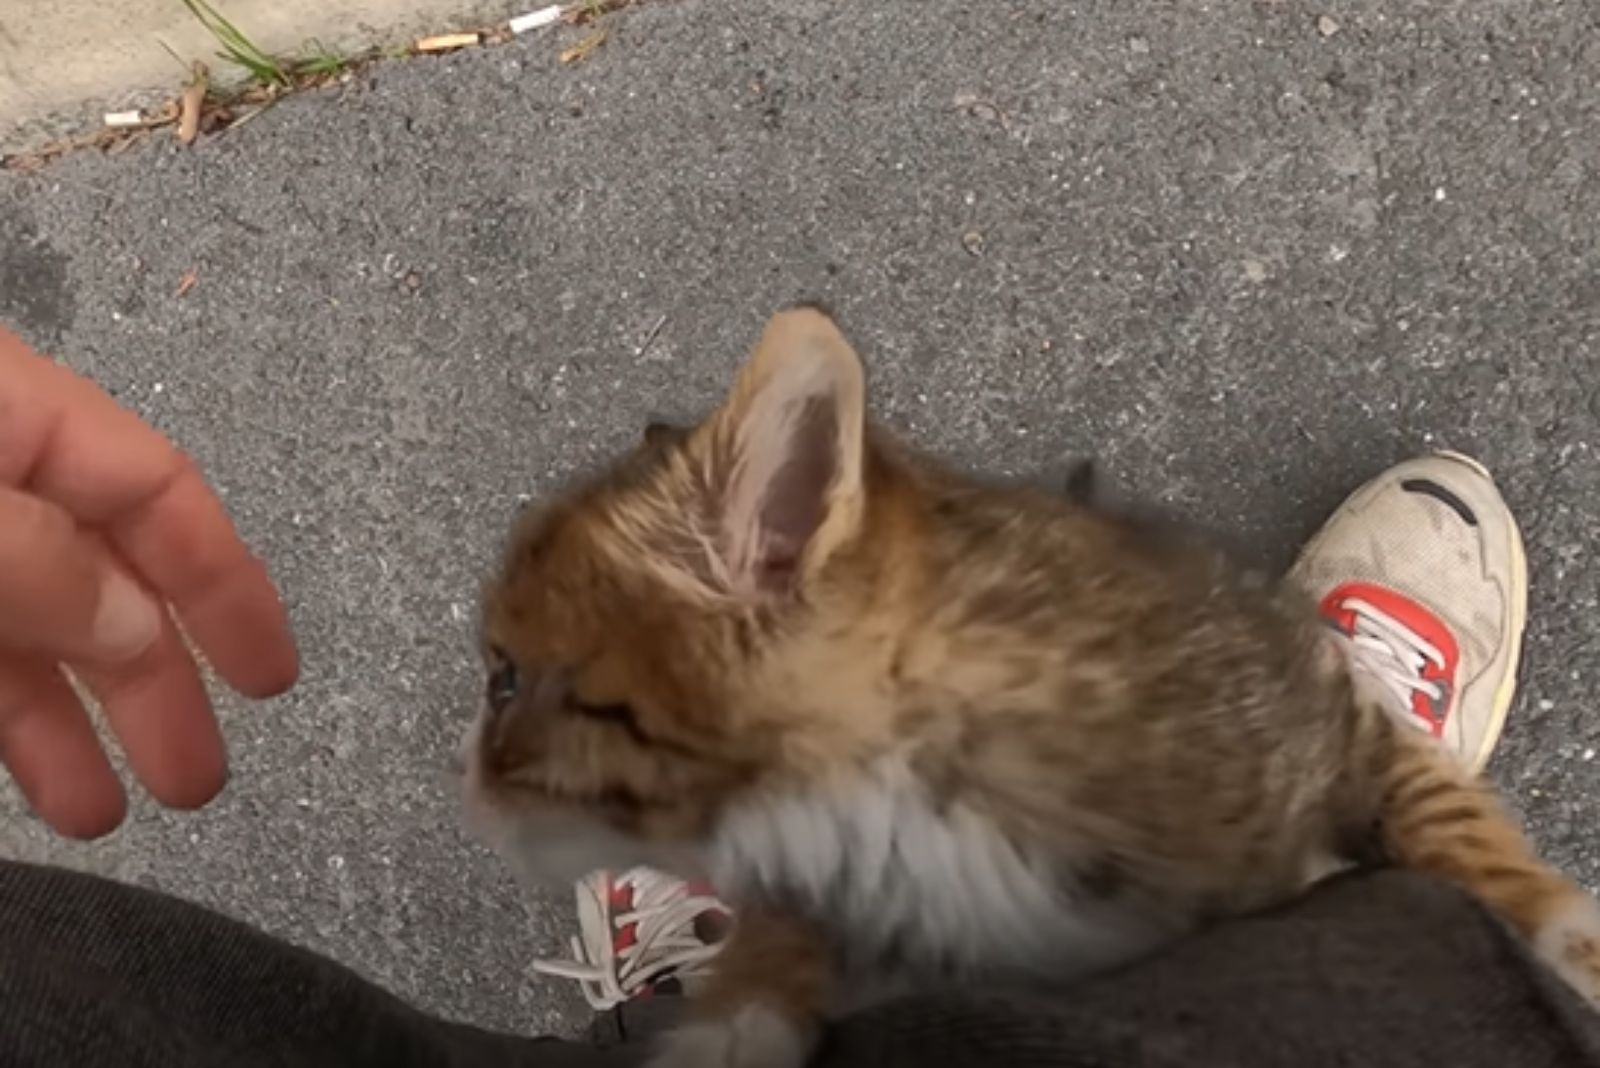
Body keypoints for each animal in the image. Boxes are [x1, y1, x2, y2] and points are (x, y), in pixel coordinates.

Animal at [464, 303, 1600, 1068]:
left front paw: (1570, 943)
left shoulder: (1328, 726)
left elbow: (1464, 842)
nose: (466, 784)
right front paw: (731, 1024)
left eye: (504, 679)